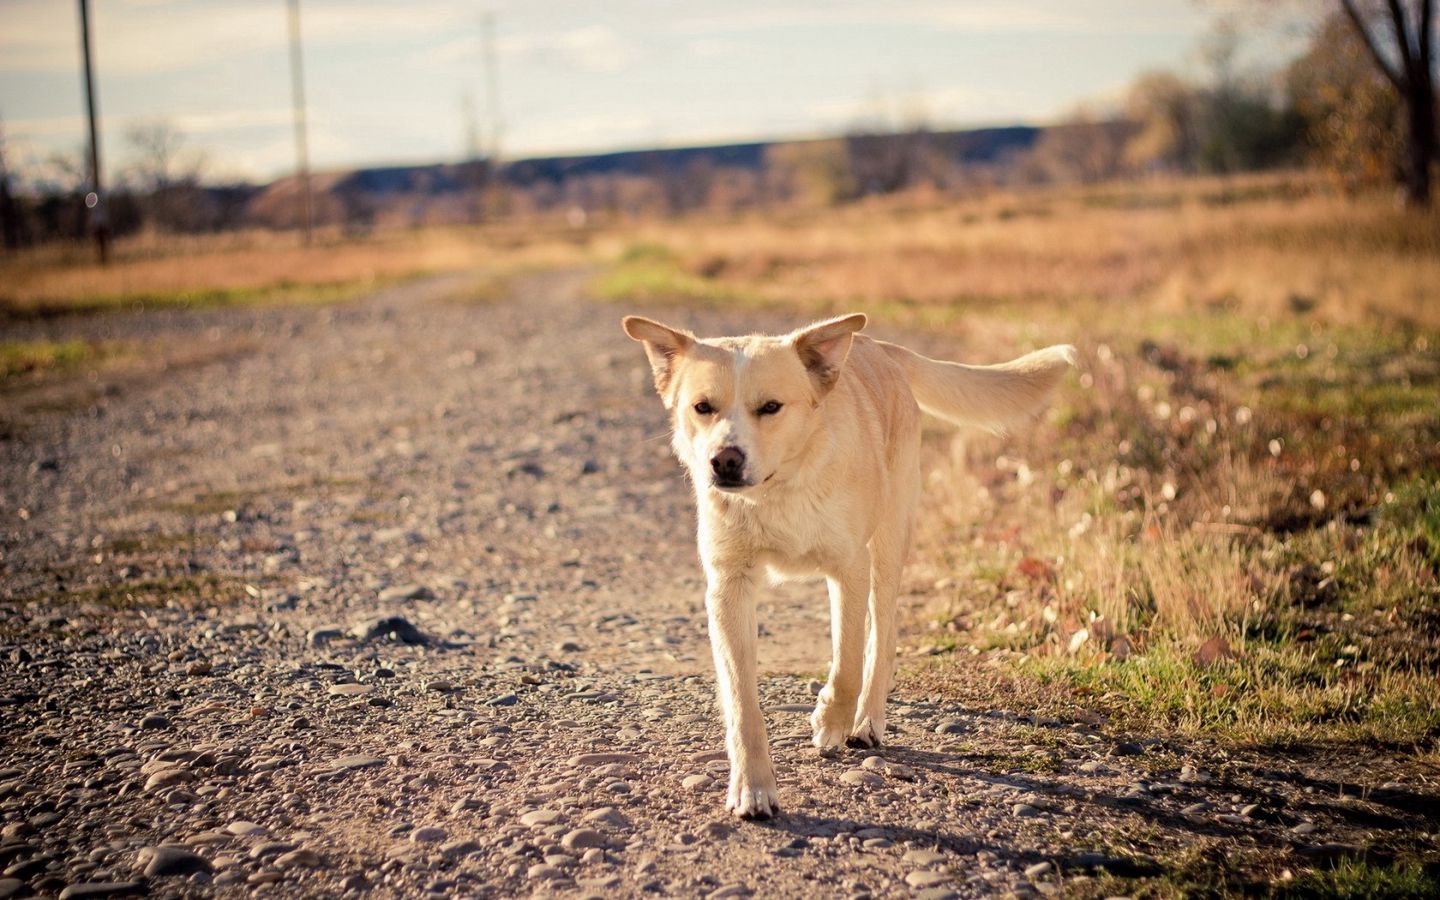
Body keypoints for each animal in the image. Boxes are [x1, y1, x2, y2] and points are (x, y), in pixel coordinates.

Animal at [624, 312, 1077, 817]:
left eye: (771, 407)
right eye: (703, 407)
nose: (724, 461)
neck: (779, 490)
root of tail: (877, 346)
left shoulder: (850, 569)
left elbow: (847, 665)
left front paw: (830, 720)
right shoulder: (728, 587)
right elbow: (743, 702)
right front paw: (753, 787)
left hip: (888, 546)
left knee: (883, 636)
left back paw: (866, 722)